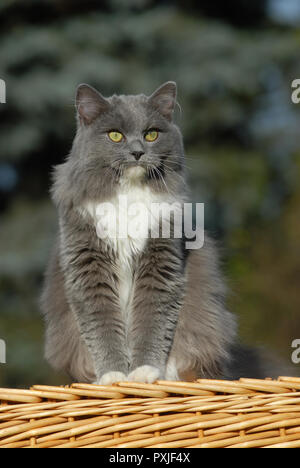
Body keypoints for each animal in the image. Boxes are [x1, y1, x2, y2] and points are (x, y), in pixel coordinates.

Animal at [40, 82, 276, 386]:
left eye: (151, 134)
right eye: (115, 135)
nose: (138, 152)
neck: (130, 191)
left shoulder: (161, 259)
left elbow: (152, 320)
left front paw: (143, 372)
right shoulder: (87, 266)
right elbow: (102, 327)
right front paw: (113, 376)